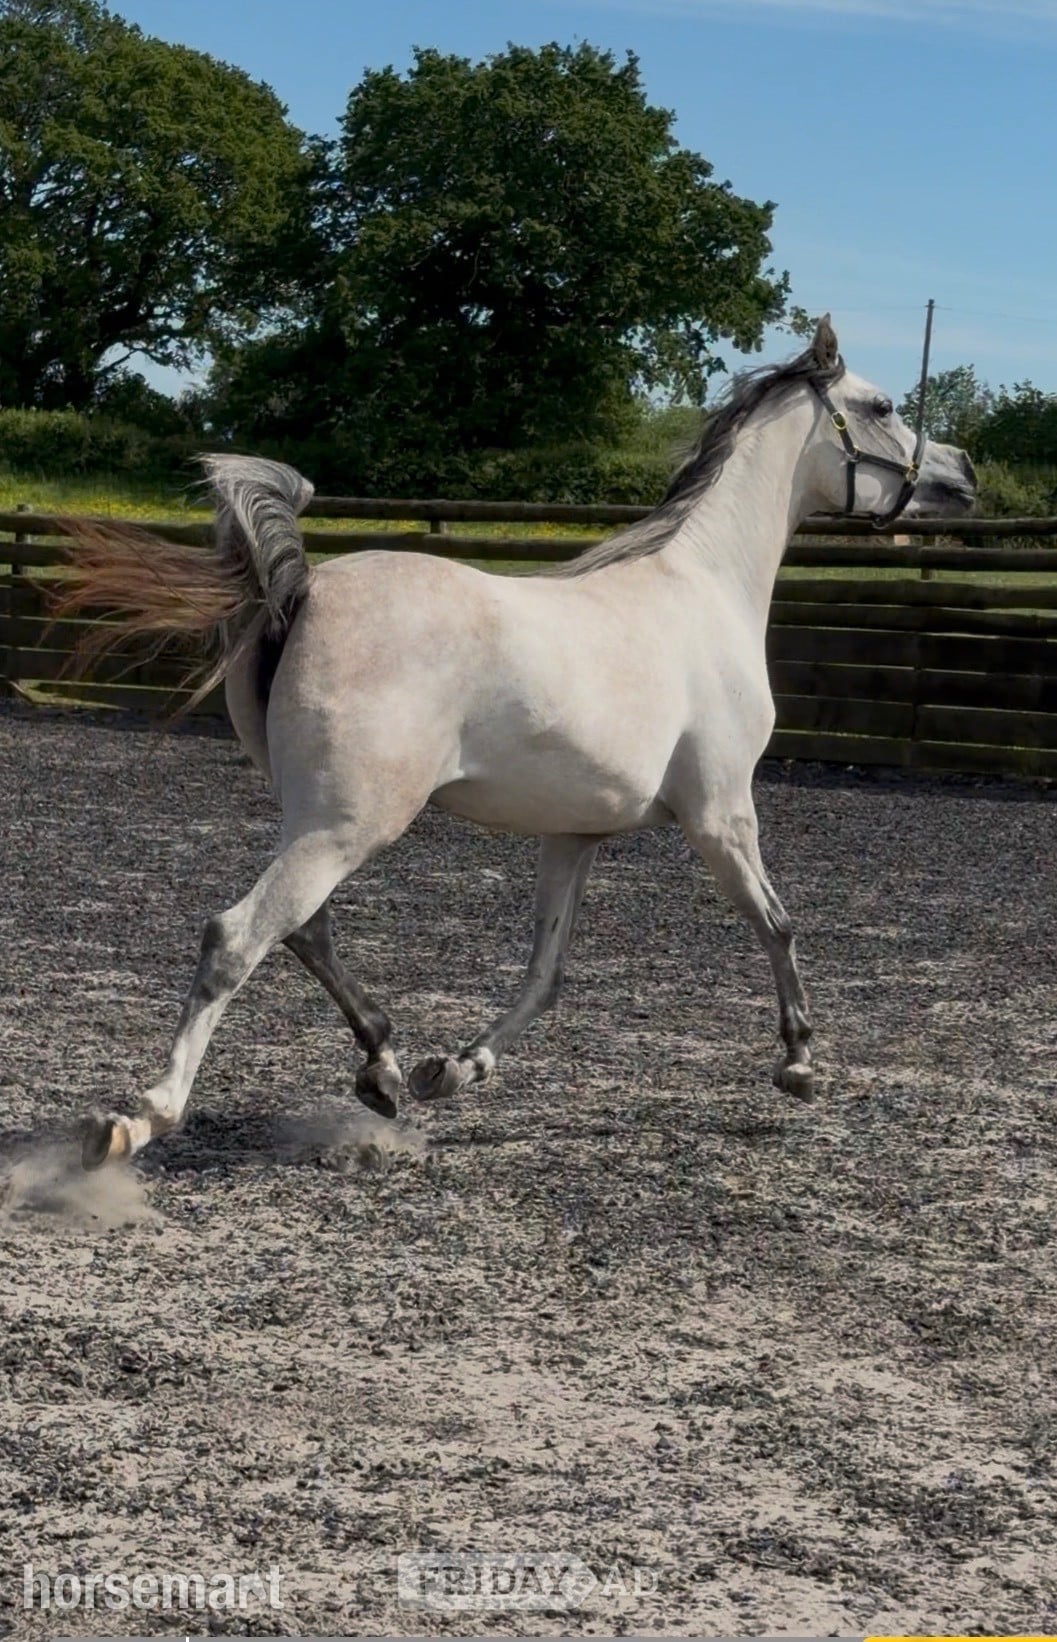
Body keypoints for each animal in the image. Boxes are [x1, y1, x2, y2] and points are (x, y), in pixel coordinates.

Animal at [54, 316, 975, 1169]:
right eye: (882, 406)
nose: (962, 475)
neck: (702, 590)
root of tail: (305, 588)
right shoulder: (719, 812)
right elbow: (776, 924)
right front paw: (799, 1065)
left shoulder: (574, 835)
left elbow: (546, 972)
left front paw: (456, 1068)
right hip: (349, 824)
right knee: (238, 936)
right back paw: (140, 1117)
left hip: (317, 818)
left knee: (306, 934)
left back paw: (384, 1069)